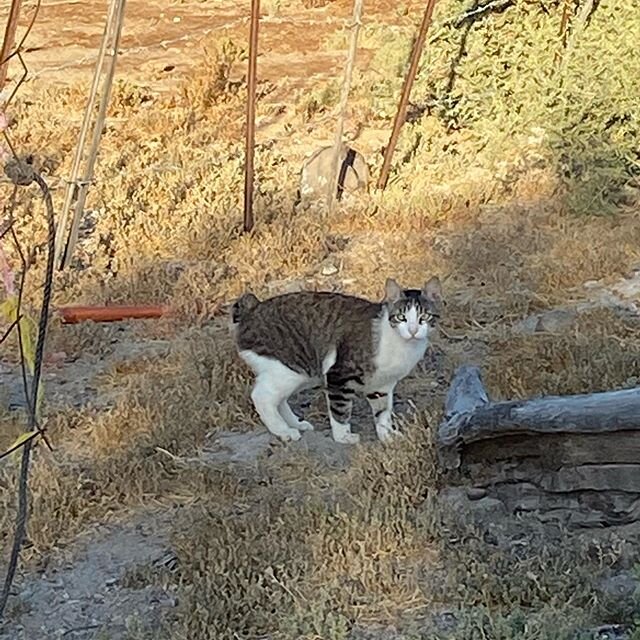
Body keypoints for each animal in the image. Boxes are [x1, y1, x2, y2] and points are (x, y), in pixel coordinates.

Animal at [229, 276, 440, 444]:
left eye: (424, 317)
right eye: (402, 317)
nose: (413, 330)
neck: (403, 346)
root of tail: (253, 309)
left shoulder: (382, 385)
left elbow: (383, 414)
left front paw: (387, 436)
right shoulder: (339, 374)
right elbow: (341, 409)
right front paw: (343, 436)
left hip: (302, 373)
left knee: (278, 398)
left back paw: (296, 423)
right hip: (291, 368)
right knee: (262, 396)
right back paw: (284, 431)